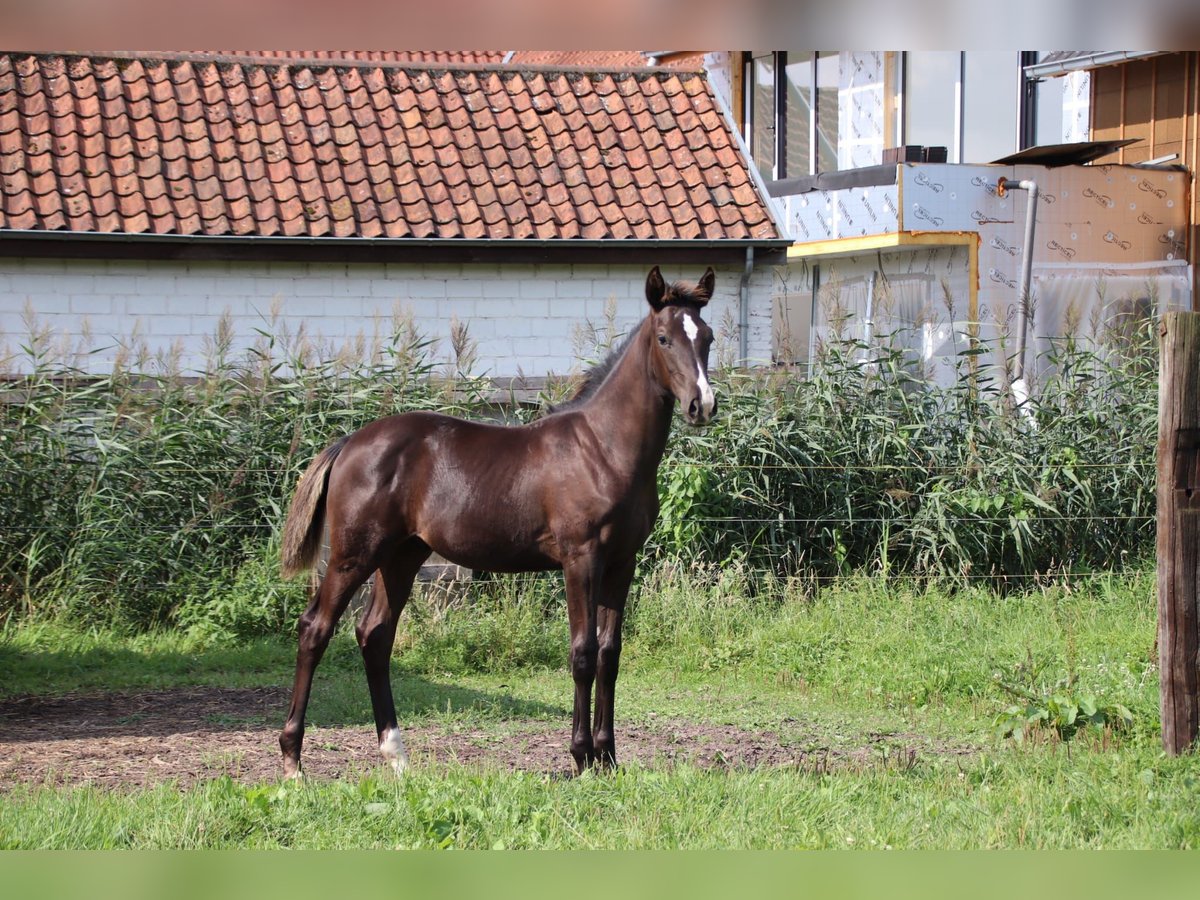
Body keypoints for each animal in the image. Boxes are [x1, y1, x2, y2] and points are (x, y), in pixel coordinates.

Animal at [276, 264, 715, 777]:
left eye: (707, 337)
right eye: (664, 338)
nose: (702, 405)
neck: (603, 448)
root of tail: (350, 442)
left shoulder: (622, 563)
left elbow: (610, 654)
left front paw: (607, 757)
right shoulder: (581, 559)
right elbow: (583, 654)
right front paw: (581, 756)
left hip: (402, 556)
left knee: (375, 635)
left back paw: (396, 754)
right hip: (354, 555)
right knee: (315, 628)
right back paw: (293, 760)